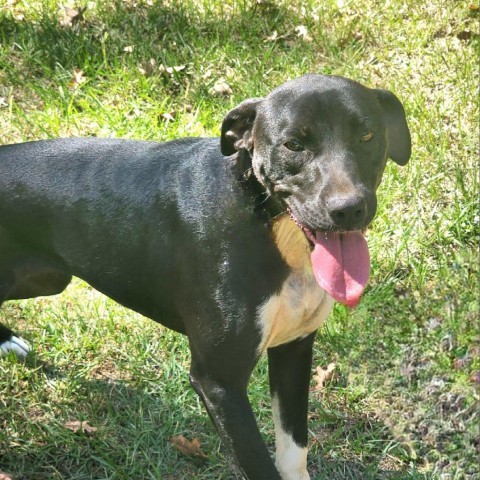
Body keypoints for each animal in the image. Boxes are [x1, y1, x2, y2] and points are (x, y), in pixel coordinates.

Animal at [0, 73, 408, 478]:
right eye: (293, 144)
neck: (262, 218)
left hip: (46, 279)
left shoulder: (294, 348)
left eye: (367, 135)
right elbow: (259, 464)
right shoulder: (219, 383)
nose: (349, 209)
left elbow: (294, 452)